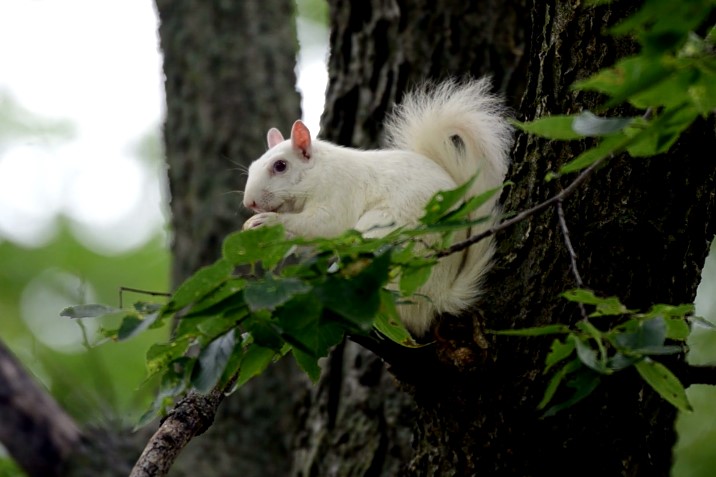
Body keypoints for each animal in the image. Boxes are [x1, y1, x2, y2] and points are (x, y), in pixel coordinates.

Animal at [243, 78, 512, 334]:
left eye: (280, 166)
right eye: (252, 166)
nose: (249, 203)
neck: (317, 172)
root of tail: (439, 298)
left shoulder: (338, 192)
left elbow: (323, 225)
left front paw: (268, 221)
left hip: (381, 237)